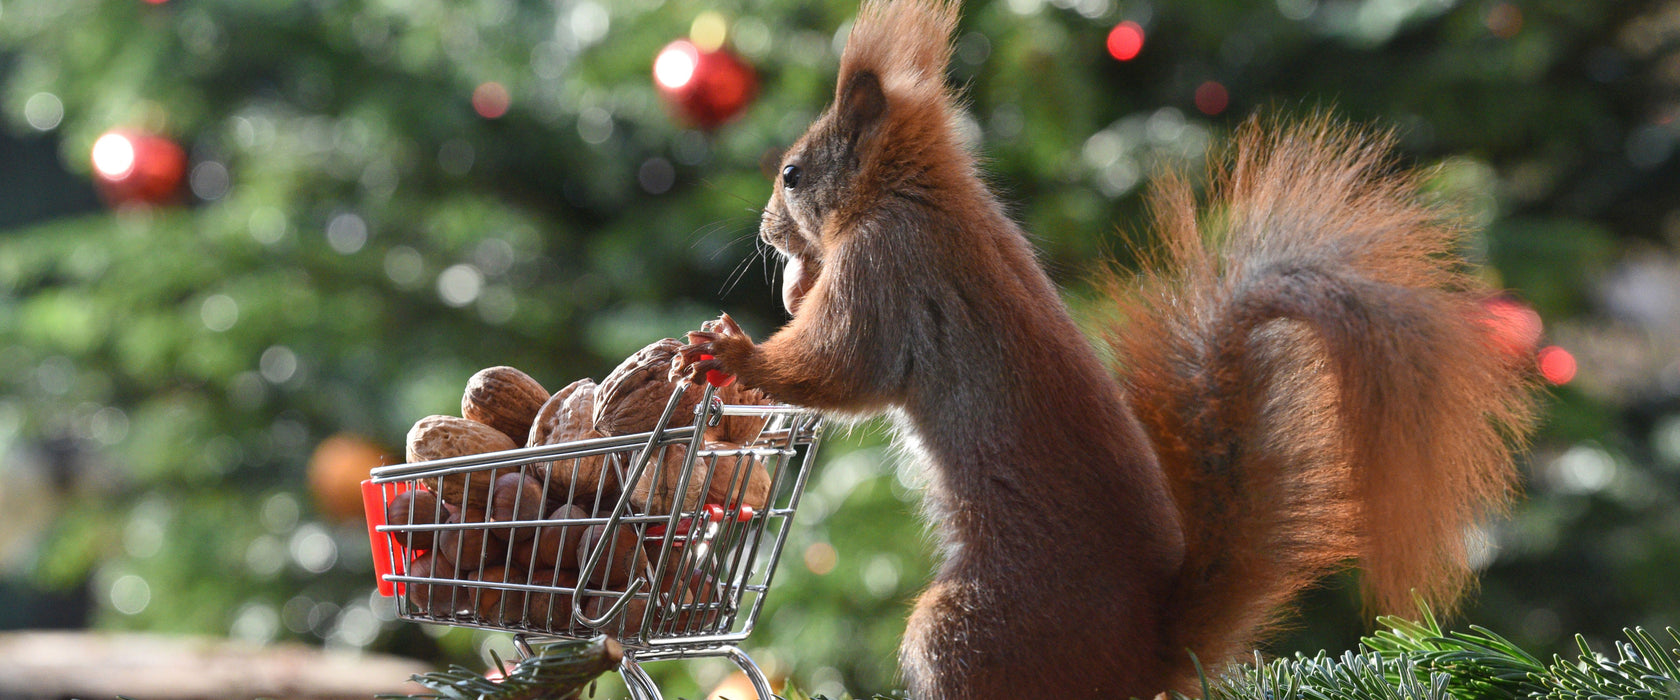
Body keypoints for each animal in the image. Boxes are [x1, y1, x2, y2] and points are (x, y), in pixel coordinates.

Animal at [675, 2, 1538, 694]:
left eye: (791, 173)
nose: (766, 235)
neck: (916, 192)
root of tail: (1146, 656)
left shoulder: (889, 269)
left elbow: (841, 366)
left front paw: (737, 353)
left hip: (968, 627)